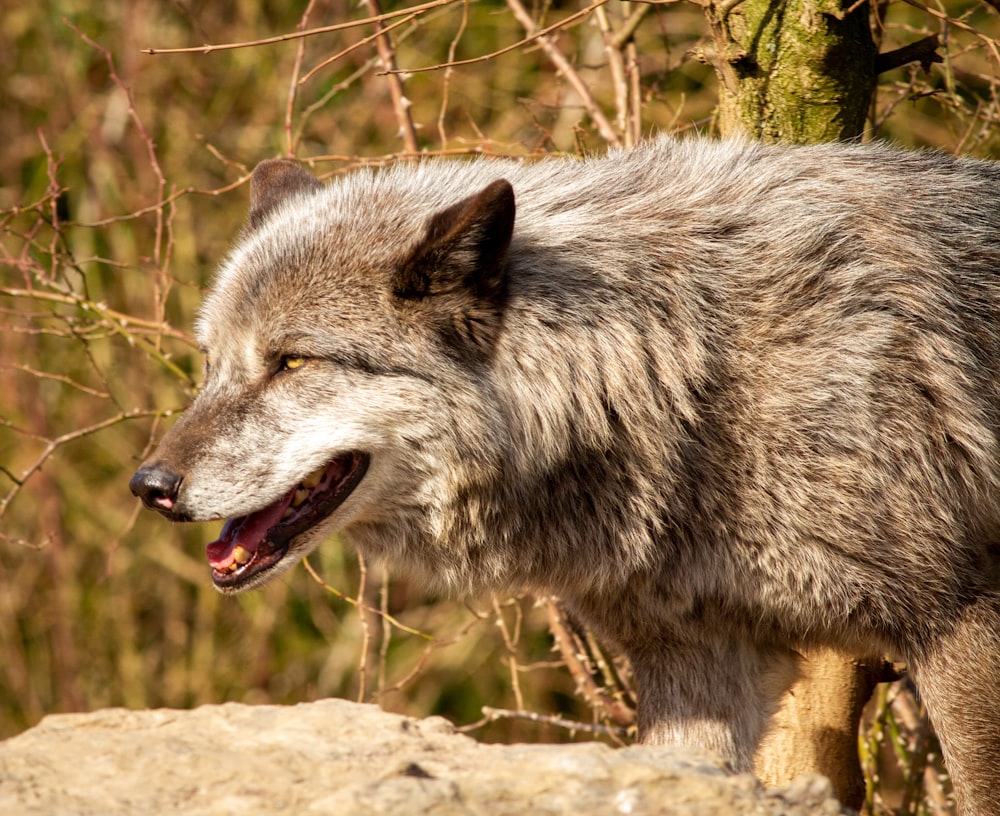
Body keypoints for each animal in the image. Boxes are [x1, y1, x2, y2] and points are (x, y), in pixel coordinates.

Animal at [129, 140, 996, 816]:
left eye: (292, 362)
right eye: (212, 363)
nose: (149, 486)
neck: (697, 374)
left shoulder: (963, 623)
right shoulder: (698, 665)